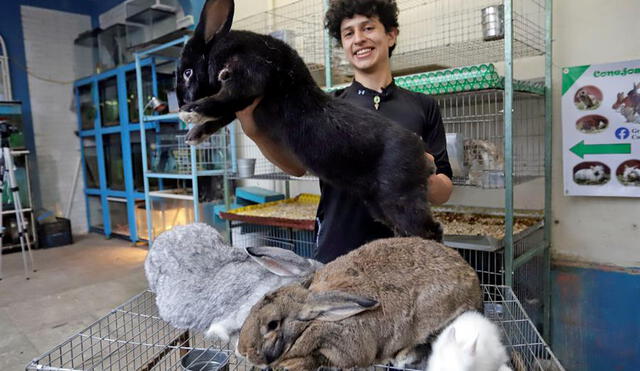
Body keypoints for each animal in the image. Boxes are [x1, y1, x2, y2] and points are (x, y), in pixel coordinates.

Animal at [178, 0, 442, 241]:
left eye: (187, 72)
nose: (181, 100)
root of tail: (421, 155)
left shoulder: (249, 73)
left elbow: (225, 99)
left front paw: (190, 111)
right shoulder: (244, 105)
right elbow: (221, 117)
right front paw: (193, 135)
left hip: (399, 197)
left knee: (431, 230)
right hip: (379, 203)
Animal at [235, 238, 480, 371]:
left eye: (273, 325)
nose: (240, 351)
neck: (315, 320)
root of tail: (473, 281)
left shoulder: (344, 349)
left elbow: (321, 358)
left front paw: (290, 365)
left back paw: (403, 356)